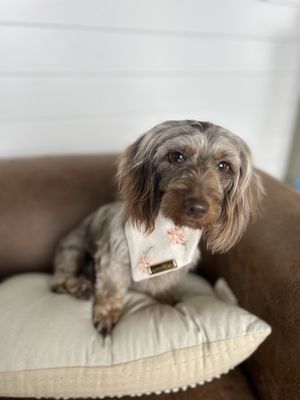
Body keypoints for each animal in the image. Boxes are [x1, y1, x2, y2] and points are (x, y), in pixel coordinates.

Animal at [50, 121, 264, 334]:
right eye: (177, 156)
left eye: (224, 166)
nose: (197, 207)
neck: (170, 231)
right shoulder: (113, 259)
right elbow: (111, 288)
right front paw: (107, 314)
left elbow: (165, 284)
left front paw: (167, 298)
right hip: (73, 248)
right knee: (59, 279)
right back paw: (77, 285)